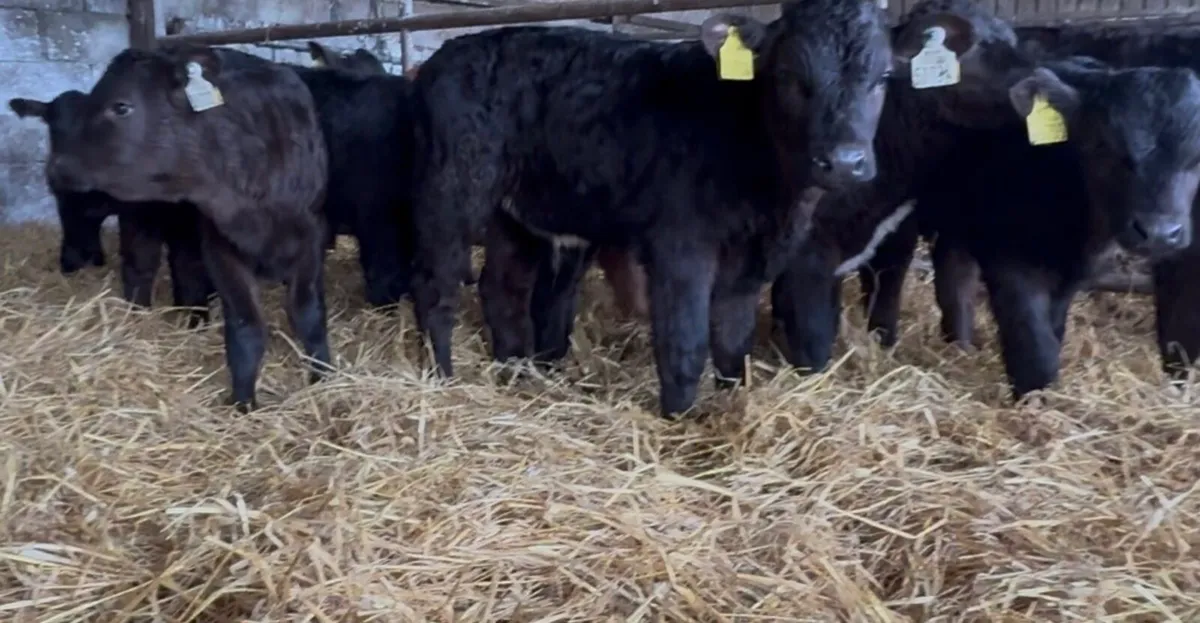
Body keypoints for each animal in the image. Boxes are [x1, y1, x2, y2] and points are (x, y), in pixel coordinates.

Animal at [42, 43, 332, 413]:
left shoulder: (313, 235)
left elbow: (309, 314)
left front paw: (324, 377)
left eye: (121, 106)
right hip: (143, 219)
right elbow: (246, 326)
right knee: (142, 268)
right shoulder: (220, 247)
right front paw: (243, 402)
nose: (57, 166)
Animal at [405, 0, 1006, 417]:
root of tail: (447, 55)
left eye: (882, 78)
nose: (844, 162)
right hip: (452, 192)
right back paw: (443, 375)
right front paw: (680, 418)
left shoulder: (751, 260)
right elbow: (686, 339)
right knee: (436, 287)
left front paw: (732, 400)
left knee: (502, 289)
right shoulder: (681, 247)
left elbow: (732, 338)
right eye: (789, 77)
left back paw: (514, 370)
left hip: (520, 214)